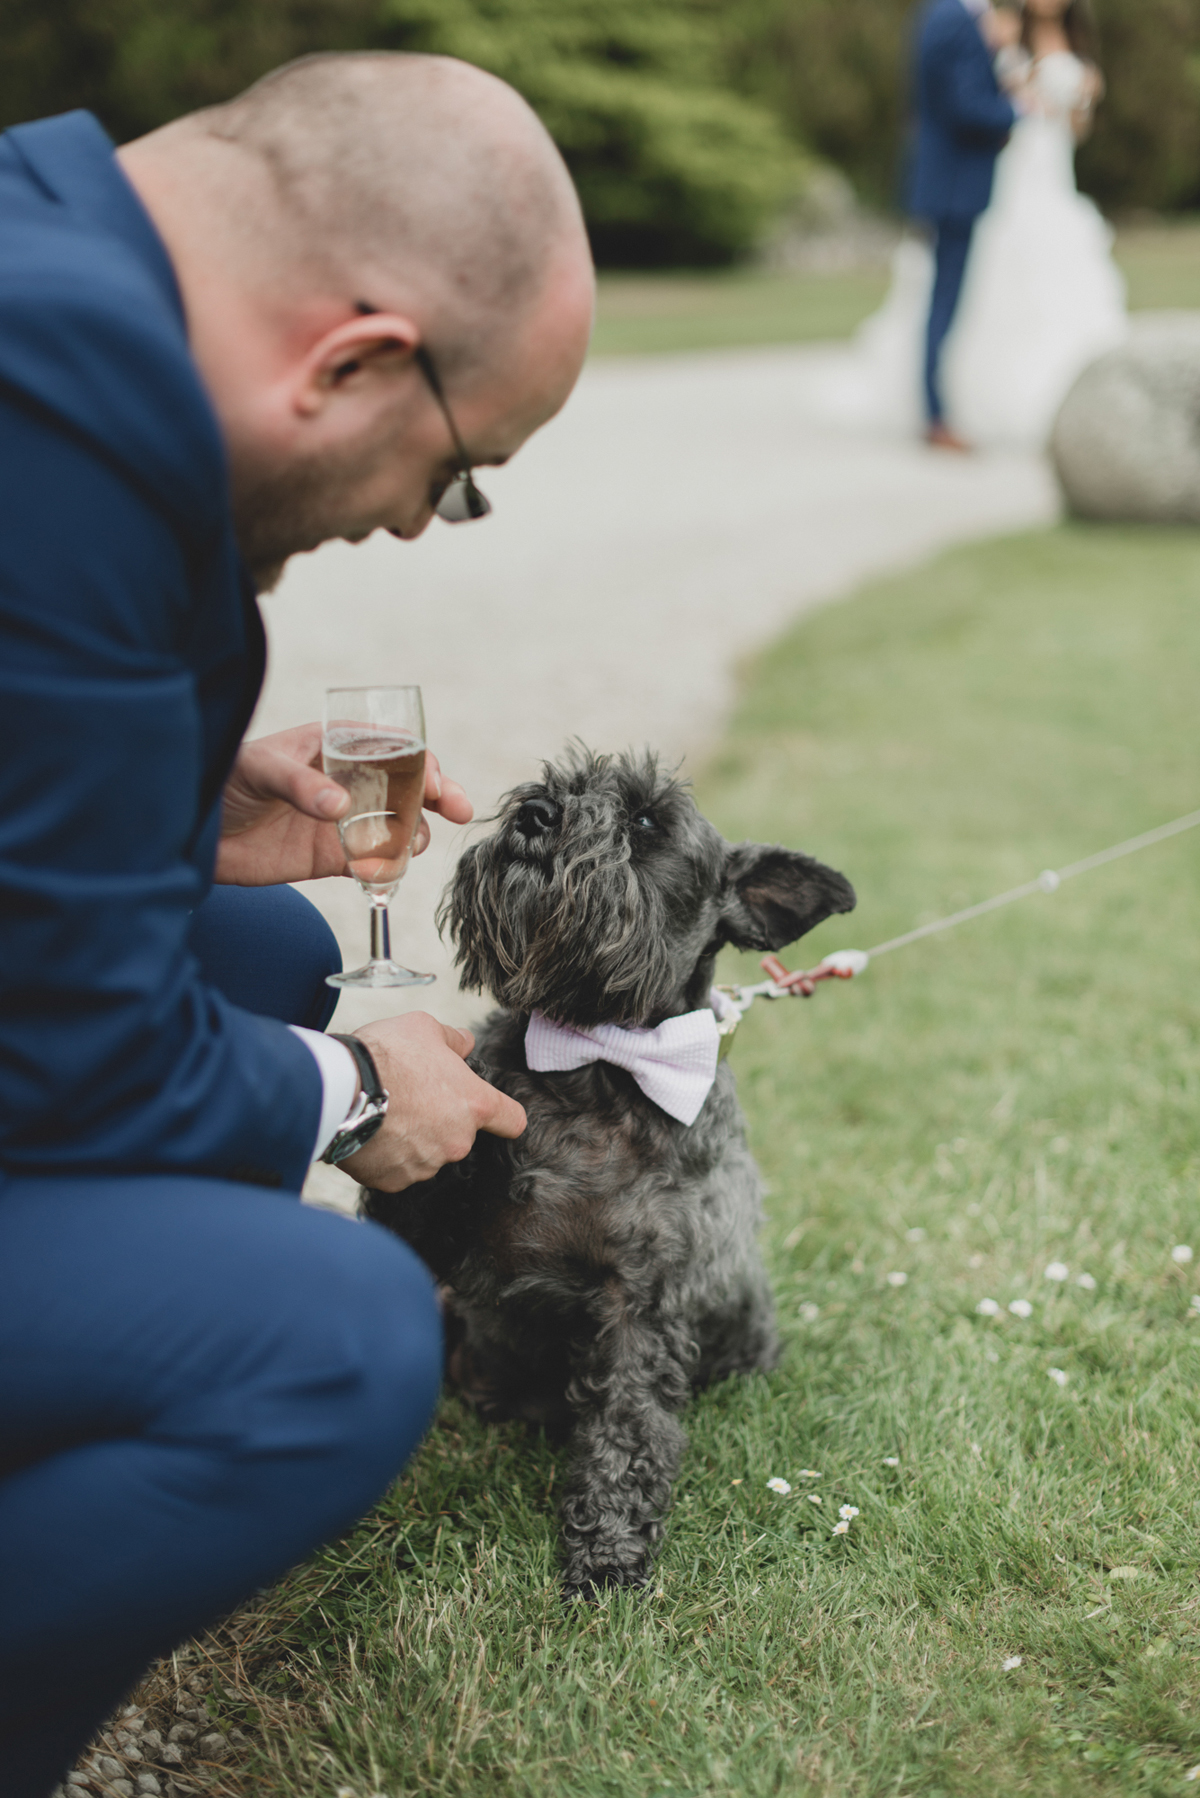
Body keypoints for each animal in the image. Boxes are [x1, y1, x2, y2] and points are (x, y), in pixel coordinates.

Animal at [367, 751, 852, 1596]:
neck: (596, 1063)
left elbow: (627, 1433)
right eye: (556, 785)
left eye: (648, 821)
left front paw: (607, 1555)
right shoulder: (441, 1240)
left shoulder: (642, 1304)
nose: (536, 815)